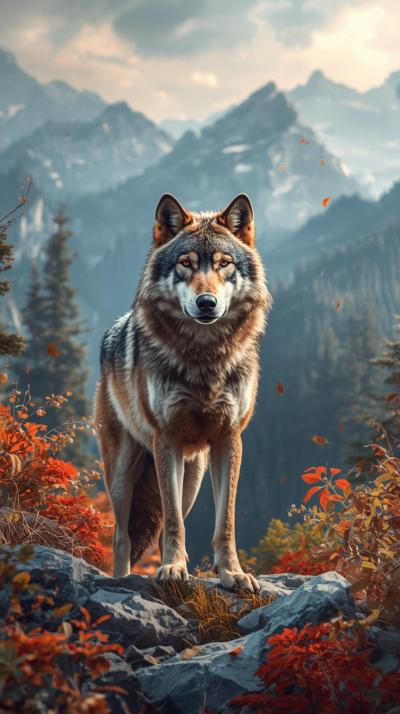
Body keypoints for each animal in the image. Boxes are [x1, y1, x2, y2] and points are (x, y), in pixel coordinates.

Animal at [95, 193, 272, 591]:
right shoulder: (166, 438)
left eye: (223, 264)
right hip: (122, 473)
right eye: (186, 264)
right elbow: (173, 521)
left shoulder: (229, 439)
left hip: (192, 477)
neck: (204, 357)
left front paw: (232, 573)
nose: (206, 303)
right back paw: (123, 578)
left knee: (162, 525)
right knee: (122, 536)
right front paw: (173, 569)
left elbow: (225, 521)